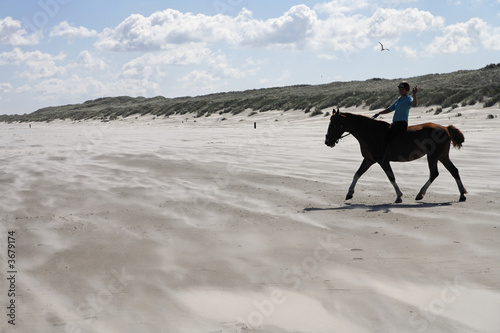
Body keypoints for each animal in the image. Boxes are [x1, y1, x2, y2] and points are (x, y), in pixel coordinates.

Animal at [326, 109, 466, 202]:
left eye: (334, 124)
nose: (327, 141)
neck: (370, 132)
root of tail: (445, 128)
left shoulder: (383, 161)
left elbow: (391, 177)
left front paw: (399, 196)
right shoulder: (368, 160)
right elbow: (357, 174)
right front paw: (349, 193)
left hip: (433, 156)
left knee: (434, 173)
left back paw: (421, 194)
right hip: (442, 156)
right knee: (454, 171)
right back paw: (462, 194)